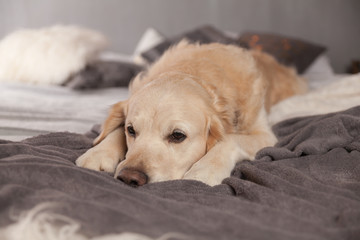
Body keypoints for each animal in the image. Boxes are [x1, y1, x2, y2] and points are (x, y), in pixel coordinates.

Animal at [76, 40, 306, 188]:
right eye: (131, 130)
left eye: (178, 136)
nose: (129, 178)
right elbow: (113, 132)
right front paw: (98, 153)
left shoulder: (264, 134)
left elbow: (230, 139)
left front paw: (204, 170)